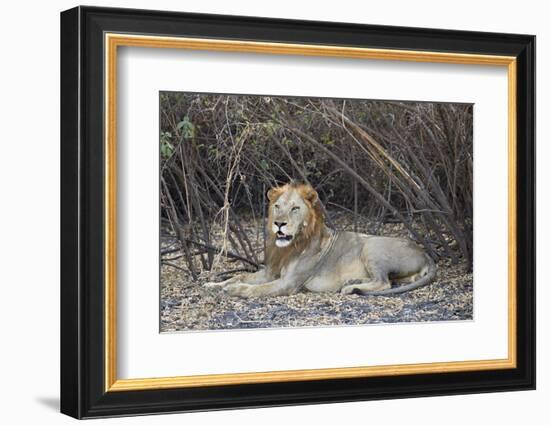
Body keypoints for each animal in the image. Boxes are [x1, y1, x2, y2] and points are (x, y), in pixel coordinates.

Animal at [209, 182, 438, 298]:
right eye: (277, 206)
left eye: (295, 208)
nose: (279, 224)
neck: (289, 247)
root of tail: (425, 253)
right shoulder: (270, 272)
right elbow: (240, 276)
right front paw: (214, 284)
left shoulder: (289, 283)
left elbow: (255, 288)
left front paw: (234, 290)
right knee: (394, 280)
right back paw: (353, 281)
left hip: (371, 247)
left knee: (384, 283)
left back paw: (349, 288)